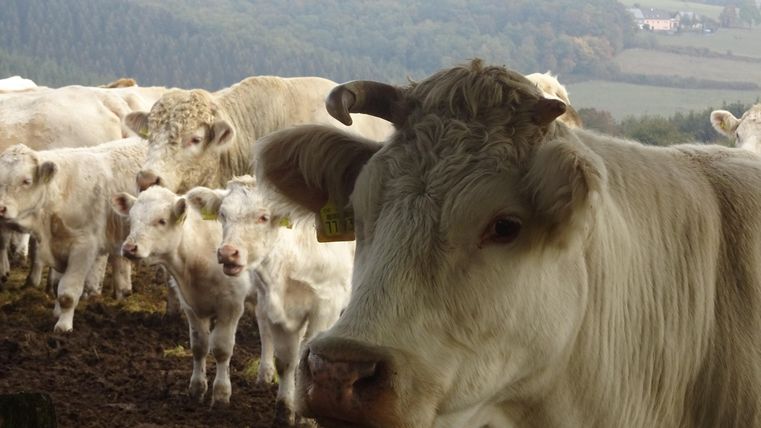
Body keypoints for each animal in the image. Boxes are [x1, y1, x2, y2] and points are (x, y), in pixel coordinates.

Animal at [0, 138, 147, 332]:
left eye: (26, 181)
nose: (1, 208)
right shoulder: (58, 246)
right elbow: (57, 285)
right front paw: (57, 313)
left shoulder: (83, 248)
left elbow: (67, 293)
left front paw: (63, 326)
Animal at [110, 185, 273, 405]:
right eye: (131, 219)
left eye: (161, 221)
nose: (129, 248)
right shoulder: (191, 305)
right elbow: (199, 346)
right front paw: (197, 388)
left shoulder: (231, 306)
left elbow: (222, 349)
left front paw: (221, 393)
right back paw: (265, 374)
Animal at [186, 176, 353, 425]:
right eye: (223, 214)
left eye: (263, 217)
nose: (227, 253)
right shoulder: (274, 307)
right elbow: (285, 361)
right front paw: (284, 411)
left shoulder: (326, 306)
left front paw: (307, 420)